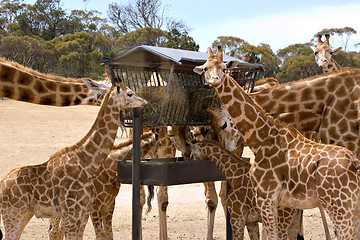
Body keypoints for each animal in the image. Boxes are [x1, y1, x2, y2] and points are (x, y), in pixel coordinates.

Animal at [0, 81, 148, 239]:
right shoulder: (73, 214)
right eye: (130, 93)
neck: (87, 163)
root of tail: (1, 184)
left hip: (24, 214)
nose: (144, 102)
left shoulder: (83, 213)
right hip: (14, 215)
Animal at [194, 46, 360, 239]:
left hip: (339, 206)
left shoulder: (266, 197)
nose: (215, 80)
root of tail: (355, 164)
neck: (261, 135)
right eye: (205, 67)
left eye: (223, 67)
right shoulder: (277, 203)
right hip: (351, 206)